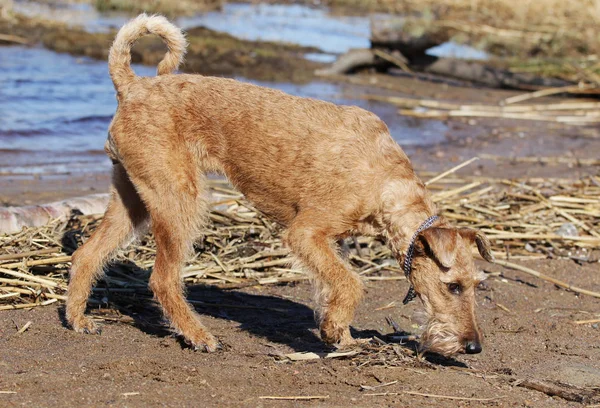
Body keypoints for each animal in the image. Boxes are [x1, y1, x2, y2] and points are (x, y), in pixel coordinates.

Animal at [67, 14, 492, 356]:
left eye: (476, 284)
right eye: (453, 286)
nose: (473, 346)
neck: (386, 181)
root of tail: (133, 86)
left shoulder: (328, 242)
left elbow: (332, 285)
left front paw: (338, 333)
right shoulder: (305, 232)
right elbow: (351, 282)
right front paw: (338, 333)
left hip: (134, 198)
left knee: (87, 255)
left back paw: (78, 320)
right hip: (179, 200)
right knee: (162, 279)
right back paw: (199, 336)